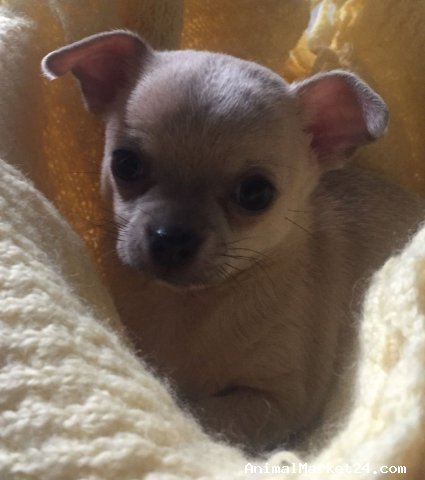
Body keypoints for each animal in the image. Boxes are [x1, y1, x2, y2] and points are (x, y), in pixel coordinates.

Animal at [42, 30, 424, 453]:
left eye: (256, 194)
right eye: (125, 164)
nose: (170, 238)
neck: (188, 304)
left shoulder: (271, 402)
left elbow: (196, 411)